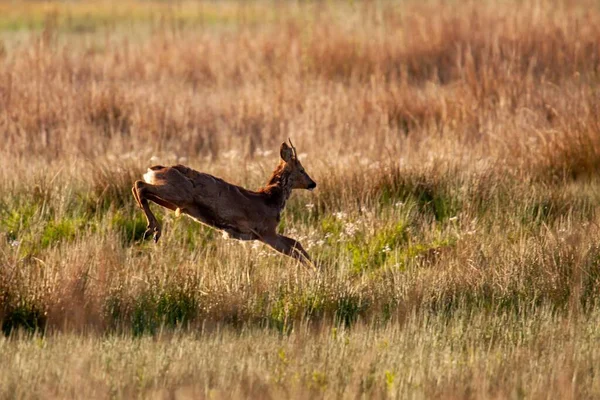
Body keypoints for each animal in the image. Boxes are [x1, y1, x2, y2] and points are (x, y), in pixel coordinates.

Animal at [132, 139, 318, 268]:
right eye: (302, 170)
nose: (313, 183)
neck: (270, 200)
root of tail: (153, 170)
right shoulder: (266, 231)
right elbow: (293, 249)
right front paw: (313, 270)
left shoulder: (264, 233)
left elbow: (296, 242)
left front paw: (315, 267)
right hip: (178, 193)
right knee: (140, 185)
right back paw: (153, 229)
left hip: (177, 202)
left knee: (141, 189)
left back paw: (153, 229)